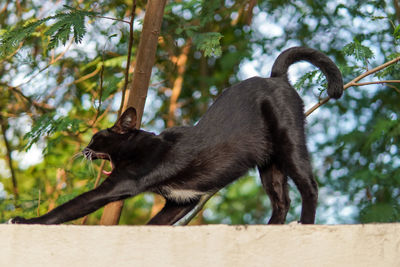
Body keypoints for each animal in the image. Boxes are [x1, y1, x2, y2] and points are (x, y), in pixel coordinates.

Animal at [10, 47, 340, 225]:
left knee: (309, 186)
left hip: (289, 141)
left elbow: (70, 208)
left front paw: (26, 221)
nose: (84, 149)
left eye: (96, 138)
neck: (144, 144)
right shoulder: (182, 200)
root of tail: (276, 77)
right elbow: (154, 223)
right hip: (268, 163)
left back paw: (305, 224)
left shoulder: (119, 185)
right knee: (281, 200)